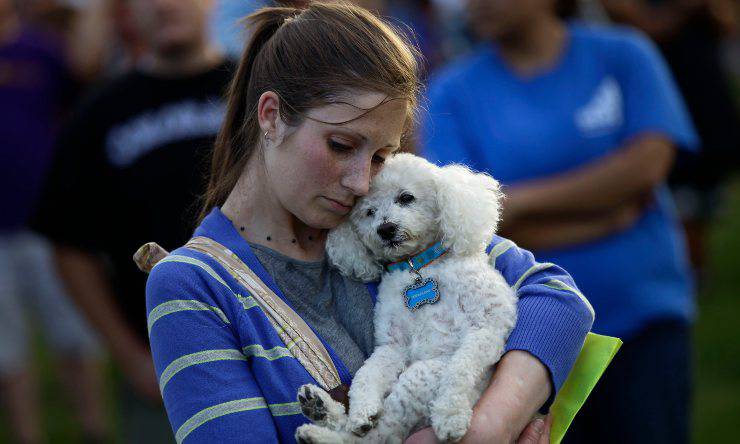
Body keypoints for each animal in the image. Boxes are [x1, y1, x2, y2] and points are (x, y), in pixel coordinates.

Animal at [294, 153, 516, 444]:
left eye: (406, 197)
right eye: (369, 212)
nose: (386, 229)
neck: (418, 268)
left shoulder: (489, 326)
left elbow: (461, 368)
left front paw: (450, 415)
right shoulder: (392, 346)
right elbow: (366, 375)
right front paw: (362, 410)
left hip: (422, 374)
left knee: (383, 432)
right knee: (374, 434)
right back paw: (320, 414)